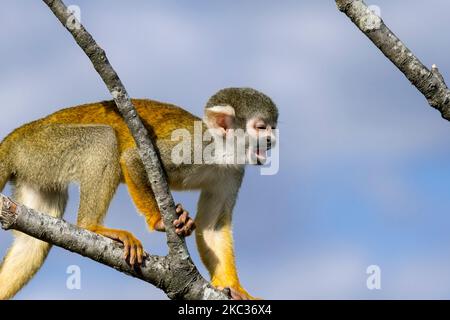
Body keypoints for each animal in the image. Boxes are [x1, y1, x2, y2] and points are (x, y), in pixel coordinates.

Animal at [0, 87, 278, 300]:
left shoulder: (234, 171)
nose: (271, 141)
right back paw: (91, 226)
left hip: (36, 166)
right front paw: (159, 221)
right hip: (43, 146)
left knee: (32, 245)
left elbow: (212, 226)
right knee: (103, 138)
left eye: (273, 128)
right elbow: (133, 159)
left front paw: (234, 287)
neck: (222, 152)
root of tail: (16, 137)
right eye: (261, 127)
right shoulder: (195, 146)